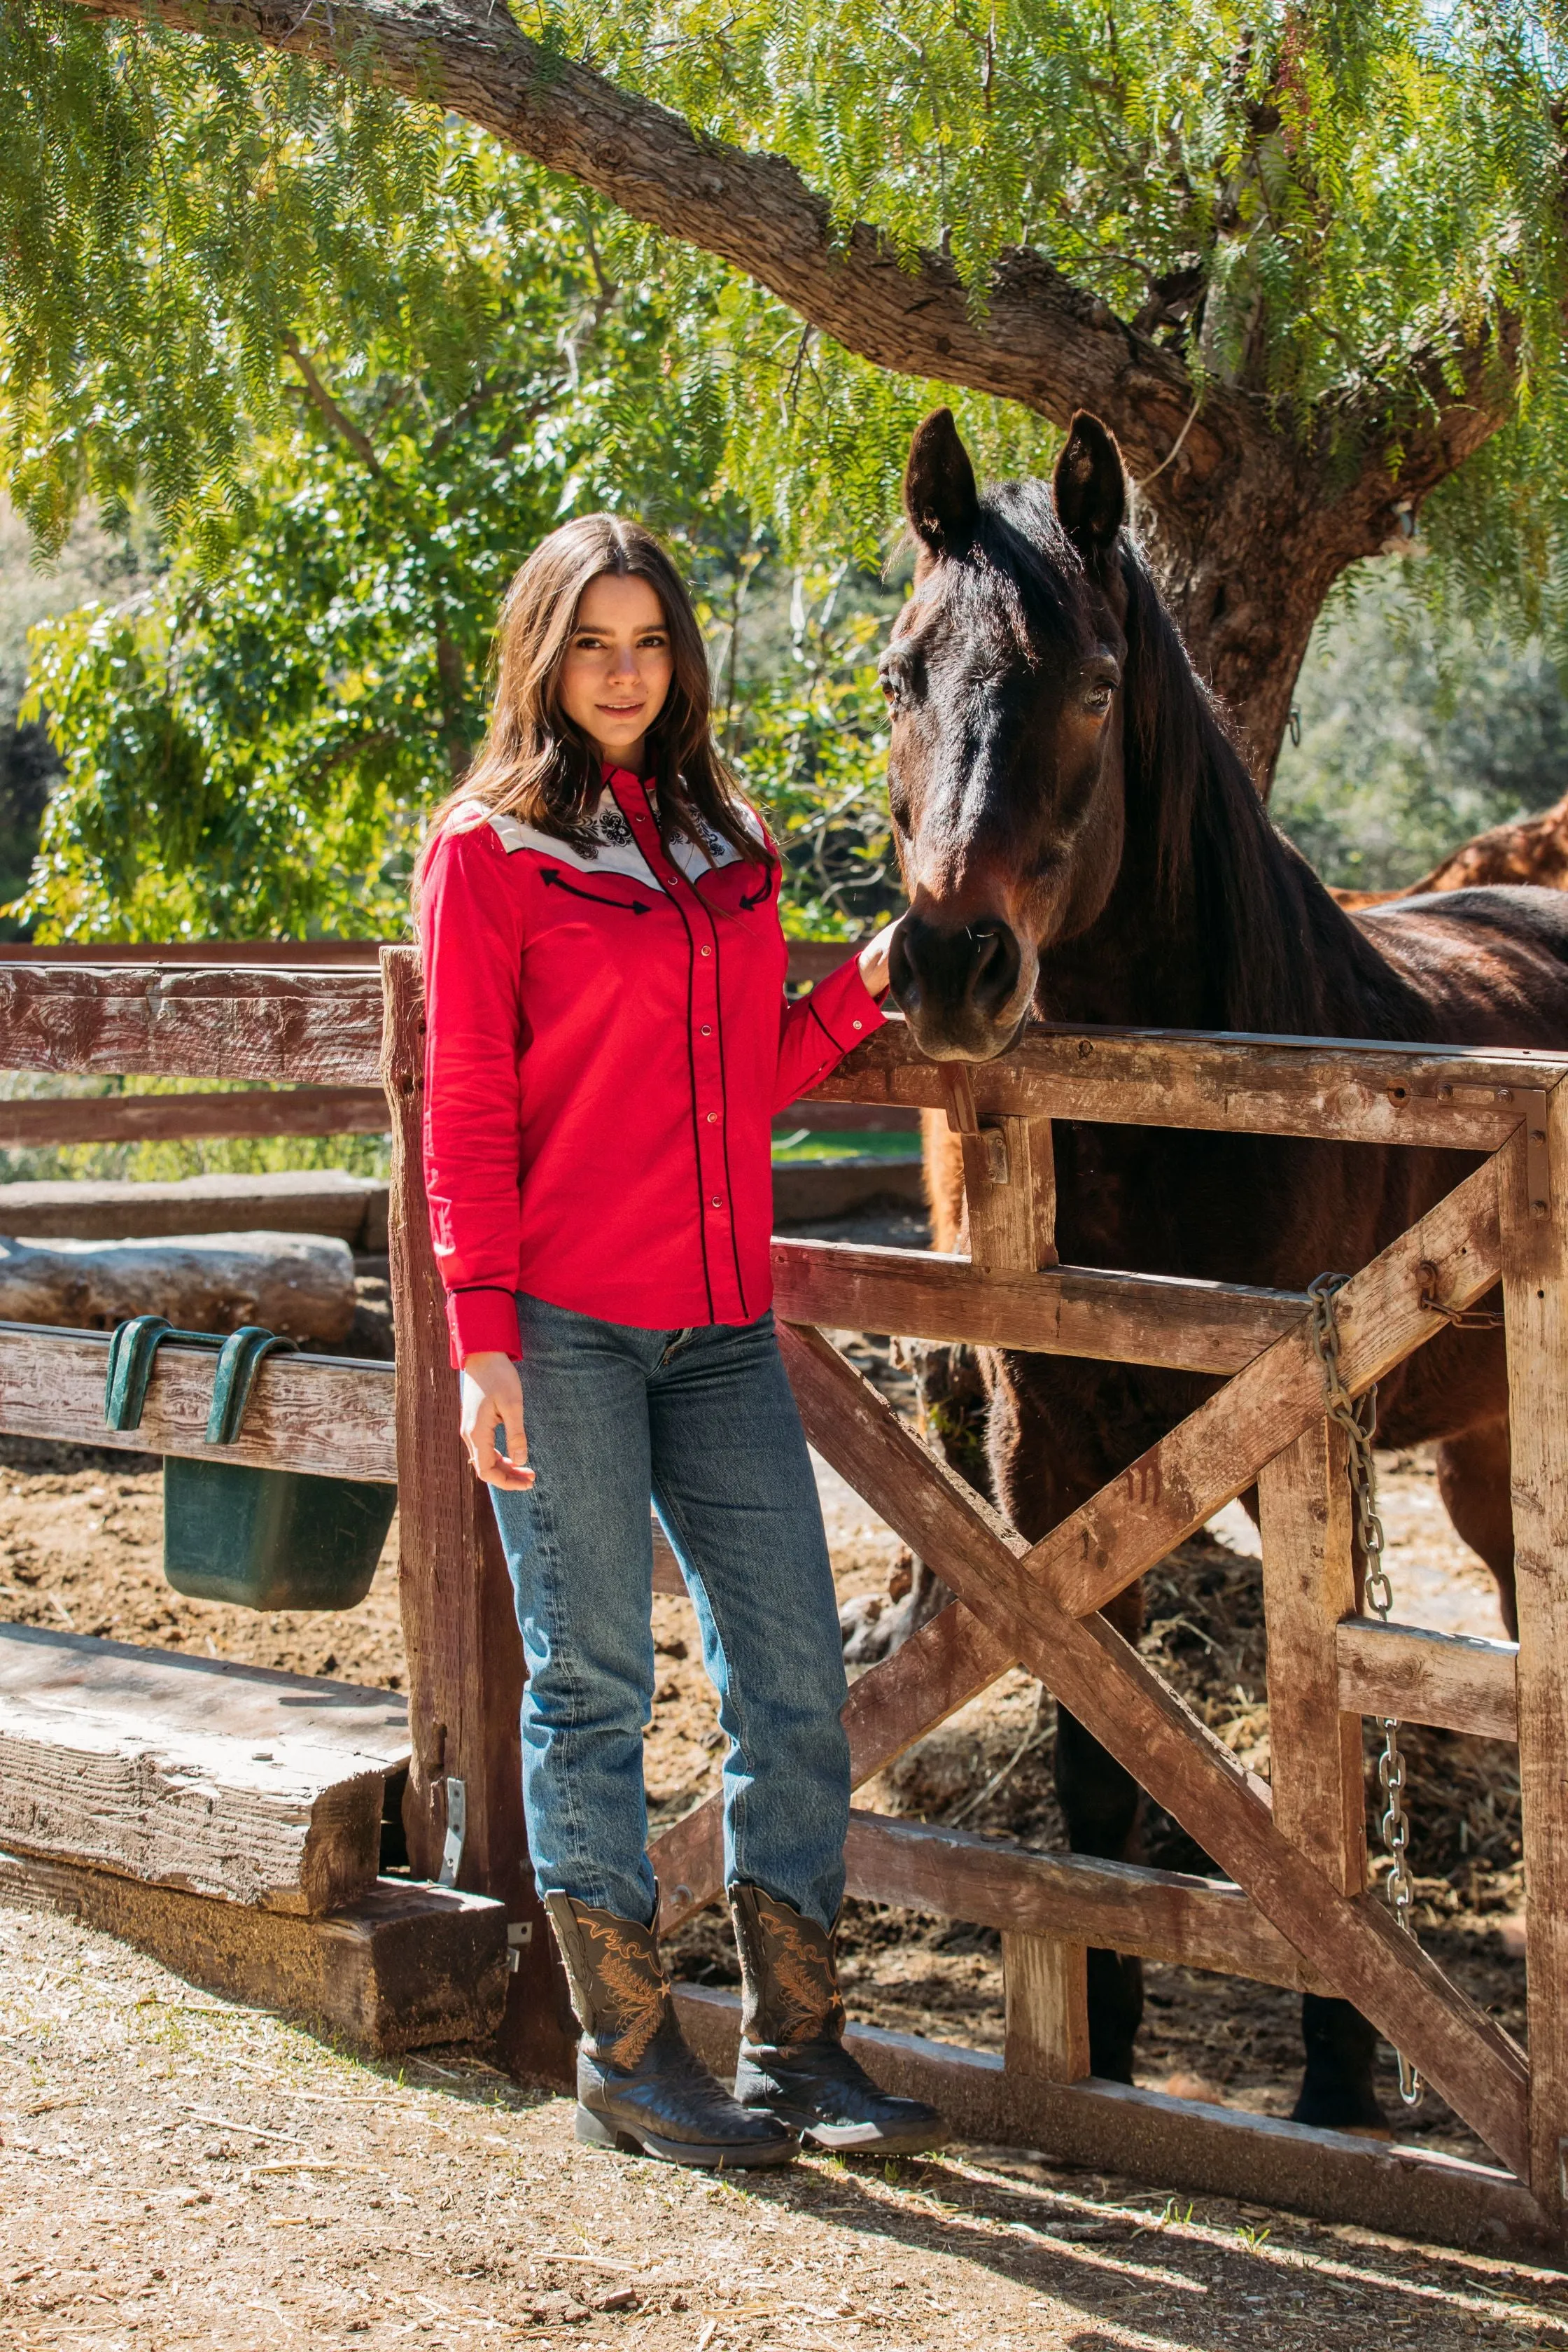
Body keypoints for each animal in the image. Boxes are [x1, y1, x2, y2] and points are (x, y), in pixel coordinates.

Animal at [883, 404, 1568, 2135]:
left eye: (1092, 683)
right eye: (900, 673)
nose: (949, 964)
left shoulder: (1294, 1447)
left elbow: (1309, 1797)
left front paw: (1338, 2088)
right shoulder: (1052, 1463)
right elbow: (1099, 1764)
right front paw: (1105, 2056)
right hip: (1486, 1451)